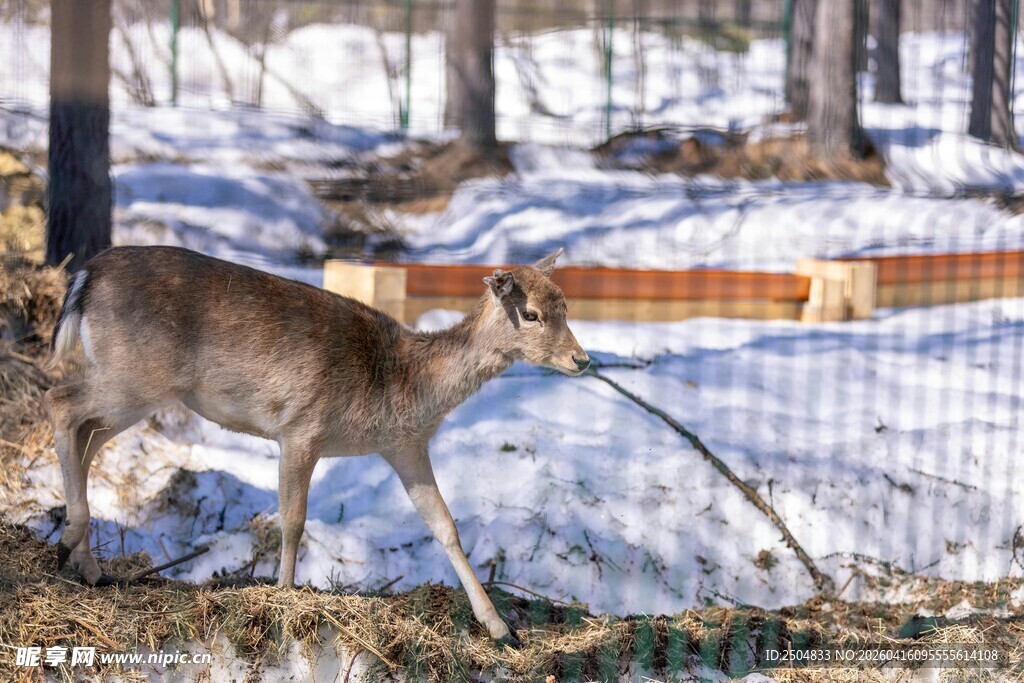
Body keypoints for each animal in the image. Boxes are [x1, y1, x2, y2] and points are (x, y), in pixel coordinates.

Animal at [45, 245, 588, 648]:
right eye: (532, 314)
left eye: (566, 305)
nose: (581, 359)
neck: (403, 387)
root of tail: (85, 275)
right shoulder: (300, 427)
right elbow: (293, 520)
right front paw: (284, 597)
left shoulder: (407, 447)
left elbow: (446, 526)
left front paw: (500, 628)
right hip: (135, 376)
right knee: (62, 404)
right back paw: (70, 541)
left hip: (138, 388)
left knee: (87, 437)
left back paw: (89, 566)